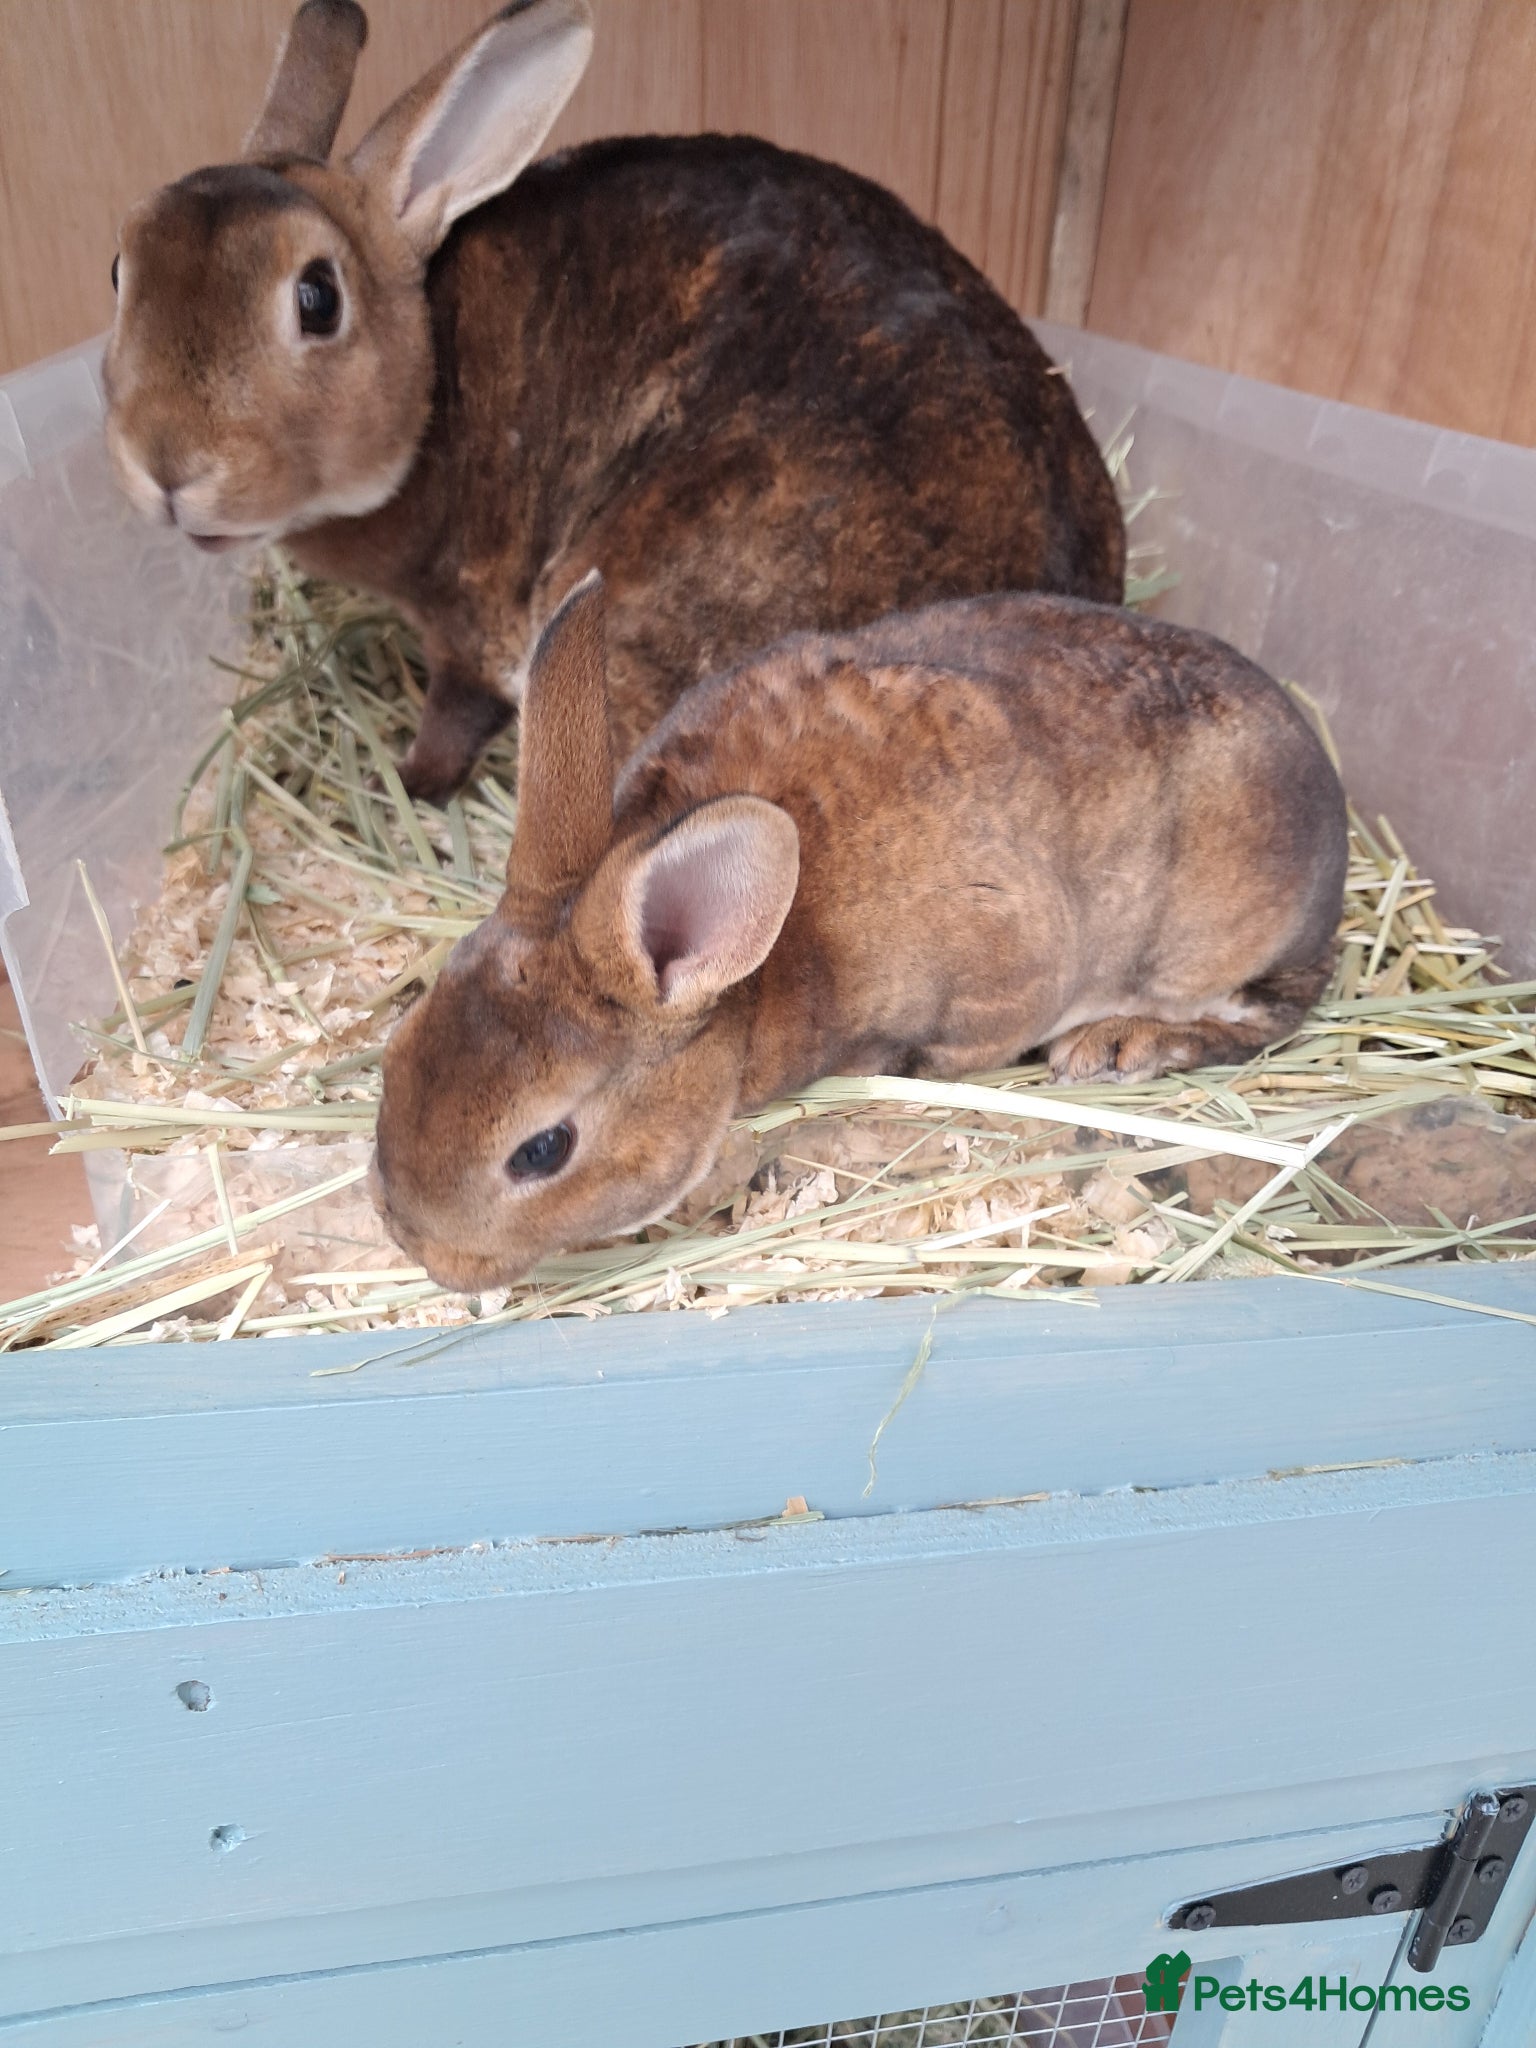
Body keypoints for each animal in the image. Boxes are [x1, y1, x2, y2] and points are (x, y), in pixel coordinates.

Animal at [102, 0, 1125, 805]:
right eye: (119, 268)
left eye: (317, 298)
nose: (166, 468)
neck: (433, 382)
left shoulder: (472, 622)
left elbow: (454, 711)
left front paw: (411, 780)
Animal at [373, 573, 1348, 1291]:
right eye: (398, 1046)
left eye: (542, 1150)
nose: (423, 1253)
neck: (748, 989)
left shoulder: (1002, 979)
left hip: (1211, 940)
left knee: (1264, 1015)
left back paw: (1119, 1044)